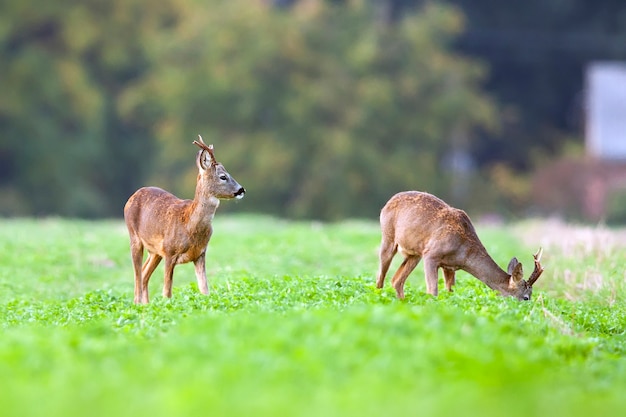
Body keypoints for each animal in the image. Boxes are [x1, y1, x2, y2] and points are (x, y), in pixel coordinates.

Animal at [122, 136, 244, 302]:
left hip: (154, 251)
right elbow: (167, 291)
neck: (190, 225)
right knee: (137, 276)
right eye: (223, 176)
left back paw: (146, 304)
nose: (241, 190)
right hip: (135, 238)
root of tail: (133, 196)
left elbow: (204, 289)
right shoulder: (169, 252)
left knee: (144, 273)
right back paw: (138, 303)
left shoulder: (200, 254)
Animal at [376, 190, 540, 300]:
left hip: (414, 254)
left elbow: (450, 292)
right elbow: (433, 291)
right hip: (388, 238)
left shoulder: (449, 266)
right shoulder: (431, 255)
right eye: (526, 297)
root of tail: (388, 202)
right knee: (380, 277)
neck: (464, 251)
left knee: (396, 281)